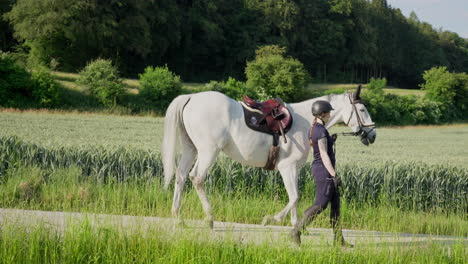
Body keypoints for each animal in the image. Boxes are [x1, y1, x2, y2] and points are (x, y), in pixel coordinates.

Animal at [163, 88, 374, 227]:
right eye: (362, 110)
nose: (372, 135)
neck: (307, 121)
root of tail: (191, 97)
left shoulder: (294, 169)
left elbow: (294, 196)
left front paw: (295, 225)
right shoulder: (287, 167)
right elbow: (295, 197)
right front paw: (272, 219)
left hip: (191, 149)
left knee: (181, 176)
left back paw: (177, 216)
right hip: (208, 151)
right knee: (196, 177)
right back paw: (209, 217)